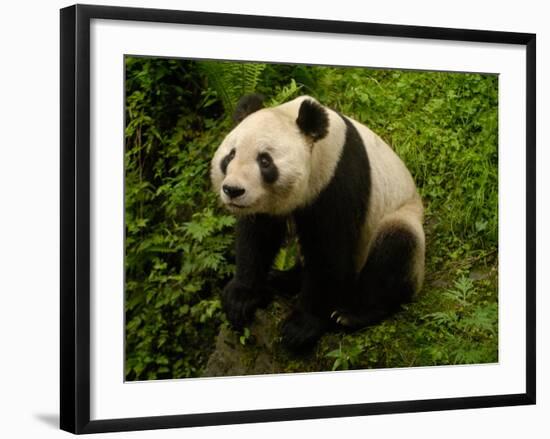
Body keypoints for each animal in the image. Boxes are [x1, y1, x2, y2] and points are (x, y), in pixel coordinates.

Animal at [211, 94, 426, 352]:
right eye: (230, 155)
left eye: (265, 161)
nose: (233, 190)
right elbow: (257, 236)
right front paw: (240, 298)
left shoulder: (336, 179)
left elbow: (329, 250)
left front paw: (301, 327)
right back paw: (282, 278)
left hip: (401, 219)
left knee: (395, 248)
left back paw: (353, 314)